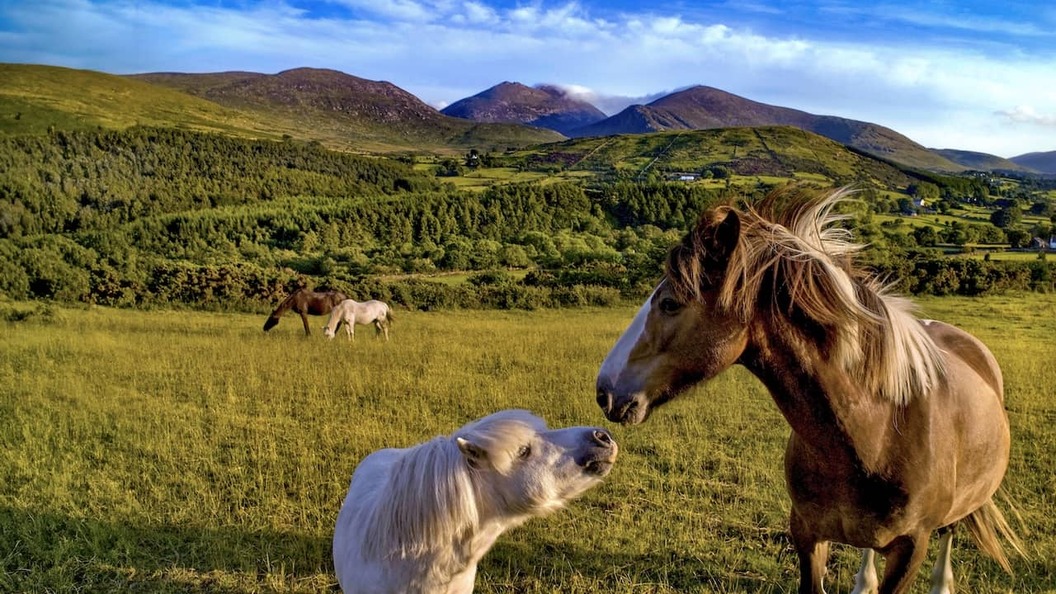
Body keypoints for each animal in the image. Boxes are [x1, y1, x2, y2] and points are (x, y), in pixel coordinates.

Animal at [594, 185, 1022, 594]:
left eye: (669, 303)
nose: (604, 391)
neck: (877, 434)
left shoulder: (911, 549)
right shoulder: (806, 533)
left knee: (951, 533)